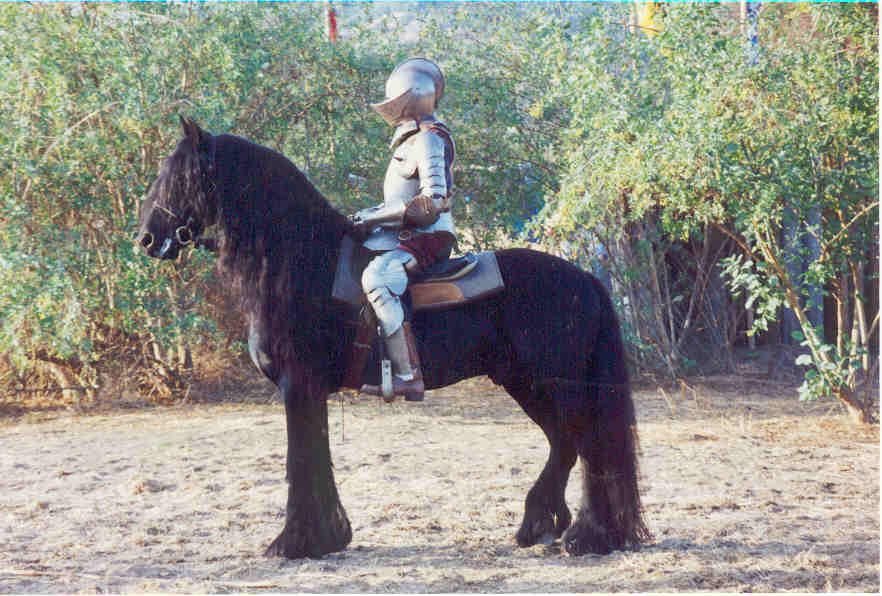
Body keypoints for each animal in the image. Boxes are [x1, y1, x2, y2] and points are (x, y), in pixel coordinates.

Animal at [136, 117, 651, 559]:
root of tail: (584, 278)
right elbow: (315, 454)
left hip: (554, 383)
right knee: (565, 444)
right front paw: (328, 537)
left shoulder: (297, 386)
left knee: (584, 445)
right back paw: (544, 526)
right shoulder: (309, 392)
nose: (147, 239)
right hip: (527, 384)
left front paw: (295, 542)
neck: (302, 264)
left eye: (181, 177)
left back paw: (588, 535)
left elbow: (300, 458)